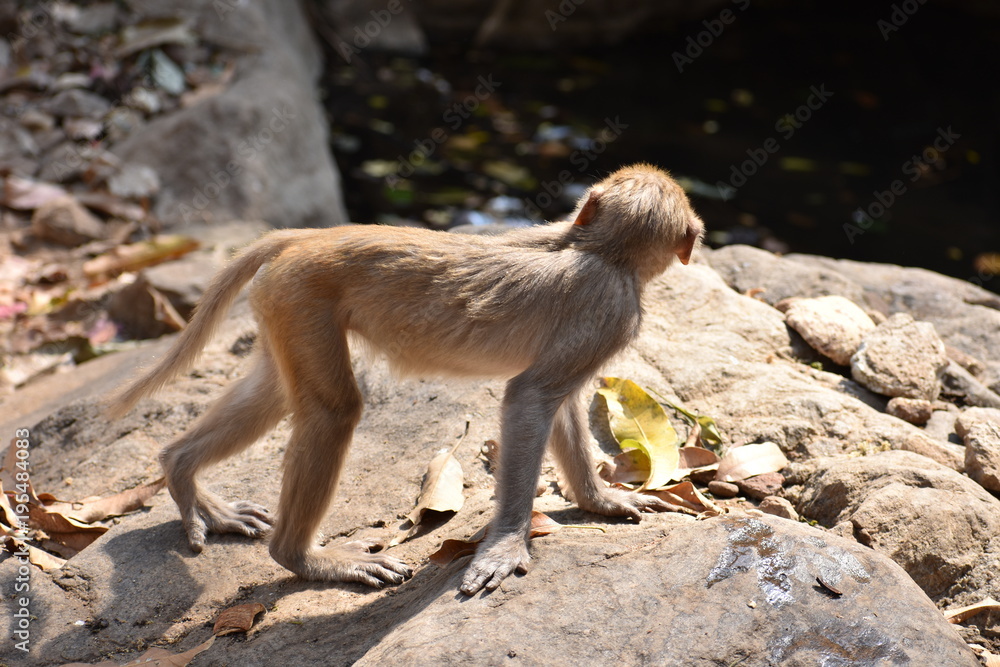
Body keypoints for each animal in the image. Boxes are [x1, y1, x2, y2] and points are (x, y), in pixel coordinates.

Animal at [108, 163, 704, 595]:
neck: (596, 247)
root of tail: (307, 240)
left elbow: (557, 404)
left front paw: (598, 500)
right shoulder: (613, 312)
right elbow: (530, 399)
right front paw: (508, 544)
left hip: (283, 302)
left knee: (277, 394)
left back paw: (183, 473)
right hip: (303, 296)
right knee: (334, 411)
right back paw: (302, 558)